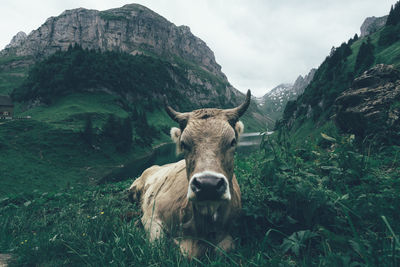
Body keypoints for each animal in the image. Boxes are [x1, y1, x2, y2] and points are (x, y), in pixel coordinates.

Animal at [128, 90, 252, 260]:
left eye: (232, 141)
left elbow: (224, 249)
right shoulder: (152, 217)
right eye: (184, 143)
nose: (208, 185)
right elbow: (158, 248)